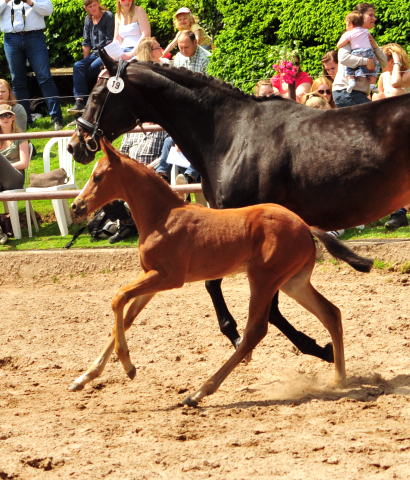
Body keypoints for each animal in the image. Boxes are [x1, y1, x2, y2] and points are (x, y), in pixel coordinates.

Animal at [70, 139, 372, 404]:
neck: (162, 217)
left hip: (263, 279)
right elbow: (126, 318)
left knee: (255, 332)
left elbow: (118, 297)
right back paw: (339, 378)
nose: (76, 206)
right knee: (331, 313)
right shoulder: (153, 279)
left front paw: (127, 366)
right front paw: (85, 377)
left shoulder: (169, 277)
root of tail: (305, 225)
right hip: (293, 283)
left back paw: (200, 392)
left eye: (98, 177)